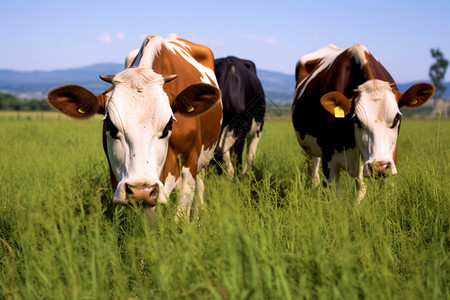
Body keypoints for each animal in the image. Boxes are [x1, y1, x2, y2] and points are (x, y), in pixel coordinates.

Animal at [47, 34, 221, 223]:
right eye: (110, 125)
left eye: (169, 125)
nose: (140, 190)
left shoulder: (190, 162)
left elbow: (181, 212)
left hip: (203, 160)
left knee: (200, 188)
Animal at [292, 44, 436, 202]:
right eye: (356, 120)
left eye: (396, 118)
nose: (379, 166)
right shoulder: (329, 161)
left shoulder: (390, 159)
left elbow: (369, 190)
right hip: (309, 149)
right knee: (313, 171)